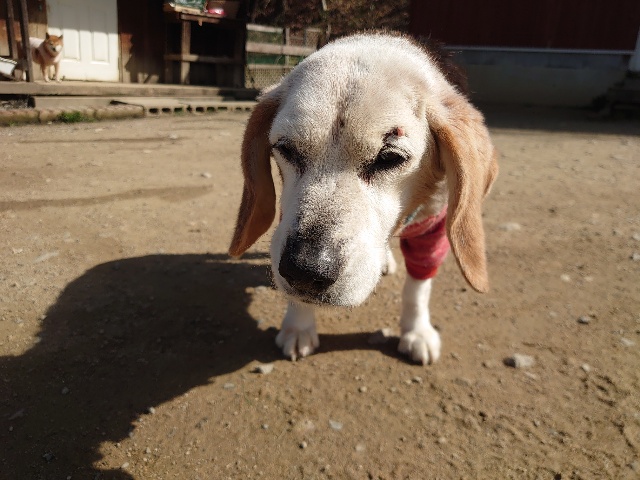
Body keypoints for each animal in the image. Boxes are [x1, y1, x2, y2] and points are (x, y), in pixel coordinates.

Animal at [229, 32, 498, 365]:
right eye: (285, 149)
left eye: (390, 158)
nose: (305, 270)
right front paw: (298, 325)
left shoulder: (433, 226)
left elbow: (417, 288)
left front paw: (417, 332)